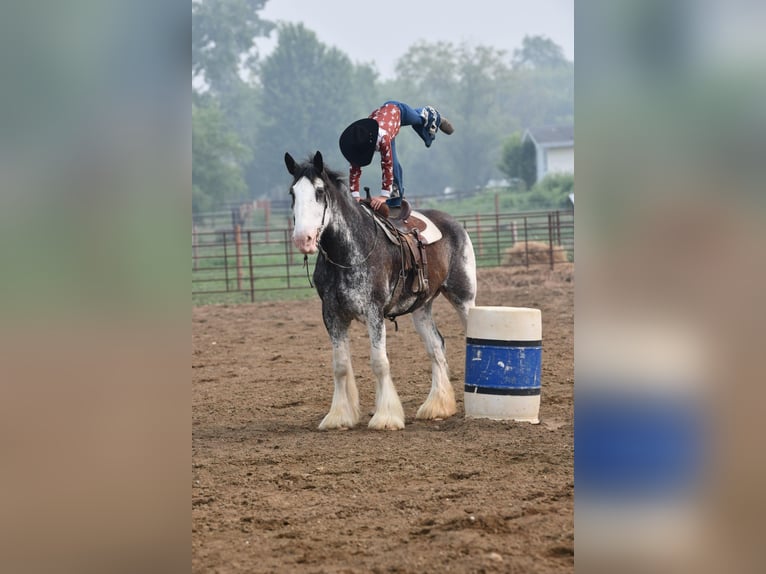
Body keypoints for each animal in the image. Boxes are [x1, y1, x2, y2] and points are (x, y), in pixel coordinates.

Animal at [286, 151, 476, 430]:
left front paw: (386, 417)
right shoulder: (332, 315)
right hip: (421, 309)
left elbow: (379, 362)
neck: (350, 251)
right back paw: (437, 406)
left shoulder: (373, 312)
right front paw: (339, 416)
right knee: (436, 347)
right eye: (292, 193)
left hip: (464, 298)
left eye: (319, 192)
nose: (303, 239)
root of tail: (454, 224)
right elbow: (340, 365)